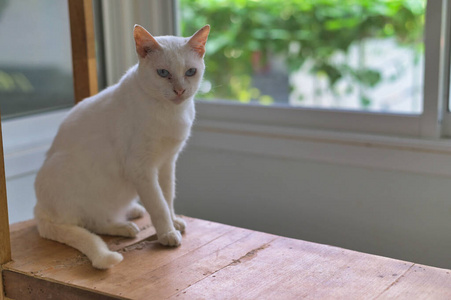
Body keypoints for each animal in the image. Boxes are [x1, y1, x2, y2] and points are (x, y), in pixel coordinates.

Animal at [33, 24, 210, 270]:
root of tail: (39, 210)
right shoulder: (141, 169)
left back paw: (133, 212)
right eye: (163, 73)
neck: (172, 114)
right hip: (70, 173)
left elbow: (167, 197)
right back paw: (125, 227)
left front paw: (174, 222)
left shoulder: (166, 163)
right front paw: (168, 233)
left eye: (190, 72)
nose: (180, 90)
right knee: (90, 223)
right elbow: (158, 205)